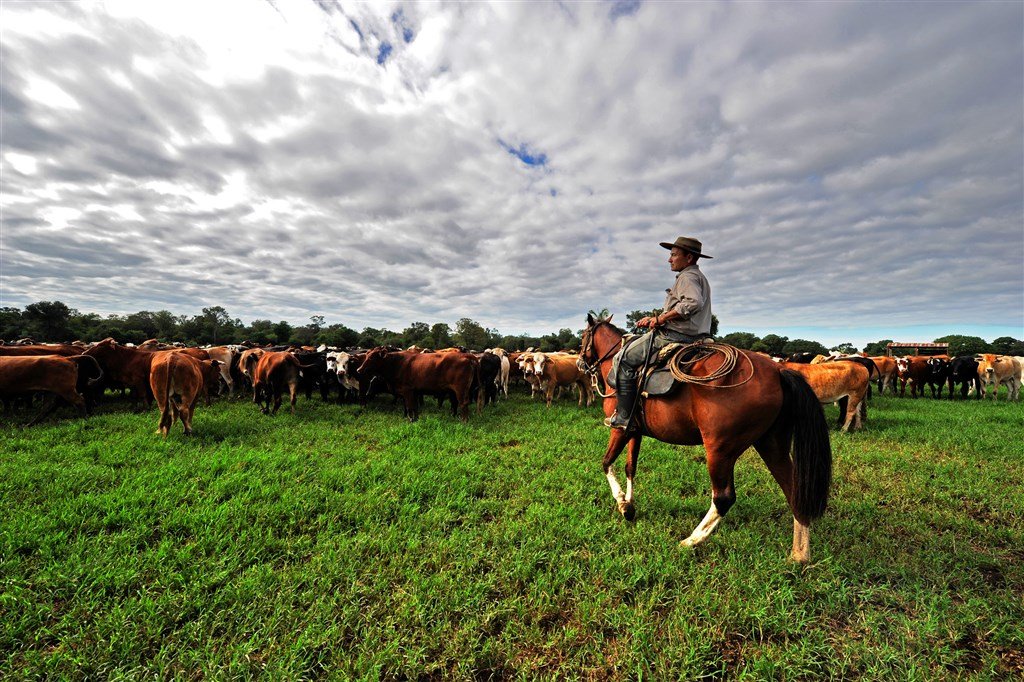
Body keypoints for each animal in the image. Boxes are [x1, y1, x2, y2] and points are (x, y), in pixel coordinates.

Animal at [577, 315, 831, 561]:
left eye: (584, 337)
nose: (580, 362)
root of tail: (778, 372)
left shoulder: (619, 428)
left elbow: (606, 463)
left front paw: (621, 502)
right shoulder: (634, 430)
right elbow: (630, 467)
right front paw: (629, 507)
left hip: (720, 450)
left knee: (723, 498)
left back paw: (691, 540)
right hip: (772, 445)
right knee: (794, 491)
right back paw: (799, 554)